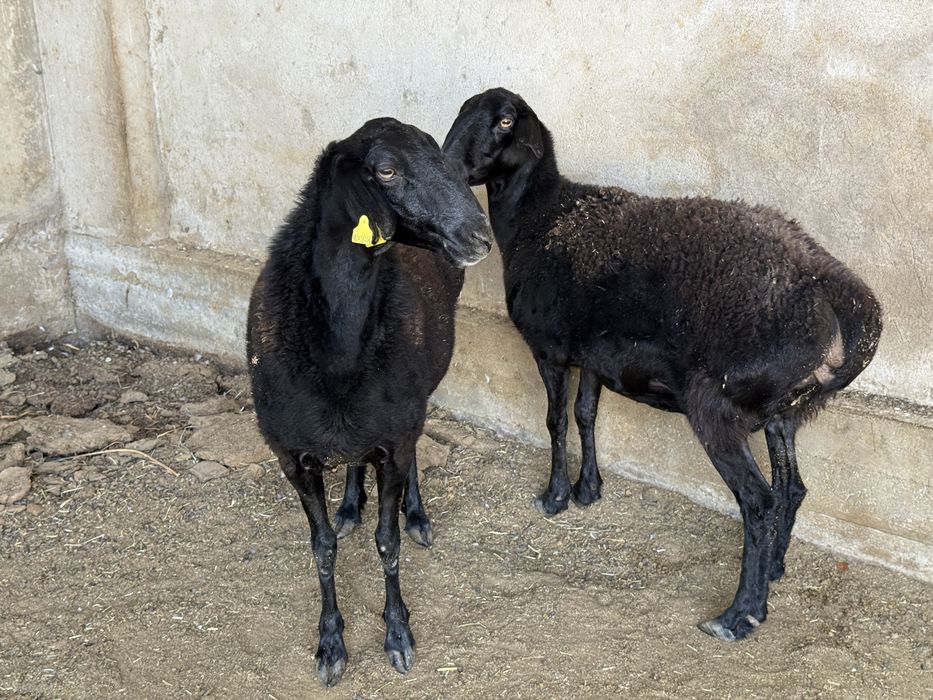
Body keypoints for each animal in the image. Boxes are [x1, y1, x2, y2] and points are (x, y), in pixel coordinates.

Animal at [247, 117, 491, 686]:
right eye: (385, 171)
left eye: (439, 157)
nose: (479, 235)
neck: (337, 348)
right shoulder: (290, 456)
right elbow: (322, 548)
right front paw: (330, 644)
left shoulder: (395, 435)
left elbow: (388, 542)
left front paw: (398, 634)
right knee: (356, 462)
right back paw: (350, 504)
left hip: (421, 389)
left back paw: (416, 514)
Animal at [442, 88, 882, 643]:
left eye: (503, 121)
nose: (447, 163)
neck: (539, 218)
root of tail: (838, 290)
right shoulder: (594, 353)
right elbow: (586, 414)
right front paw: (589, 490)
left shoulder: (550, 350)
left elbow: (555, 421)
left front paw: (555, 497)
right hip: (785, 408)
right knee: (792, 489)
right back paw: (774, 572)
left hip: (717, 404)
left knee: (759, 503)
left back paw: (739, 615)